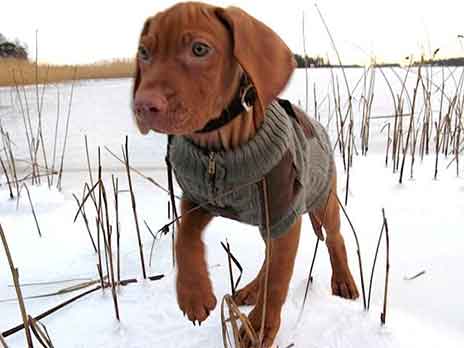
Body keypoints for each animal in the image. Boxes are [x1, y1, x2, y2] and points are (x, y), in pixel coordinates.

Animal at [133, 2, 358, 346]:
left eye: (200, 49)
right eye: (144, 53)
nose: (143, 106)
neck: (218, 152)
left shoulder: (284, 215)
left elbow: (278, 281)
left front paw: (259, 329)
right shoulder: (198, 201)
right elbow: (184, 237)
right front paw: (194, 294)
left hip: (322, 200)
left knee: (334, 237)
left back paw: (343, 280)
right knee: (269, 255)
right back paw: (252, 289)